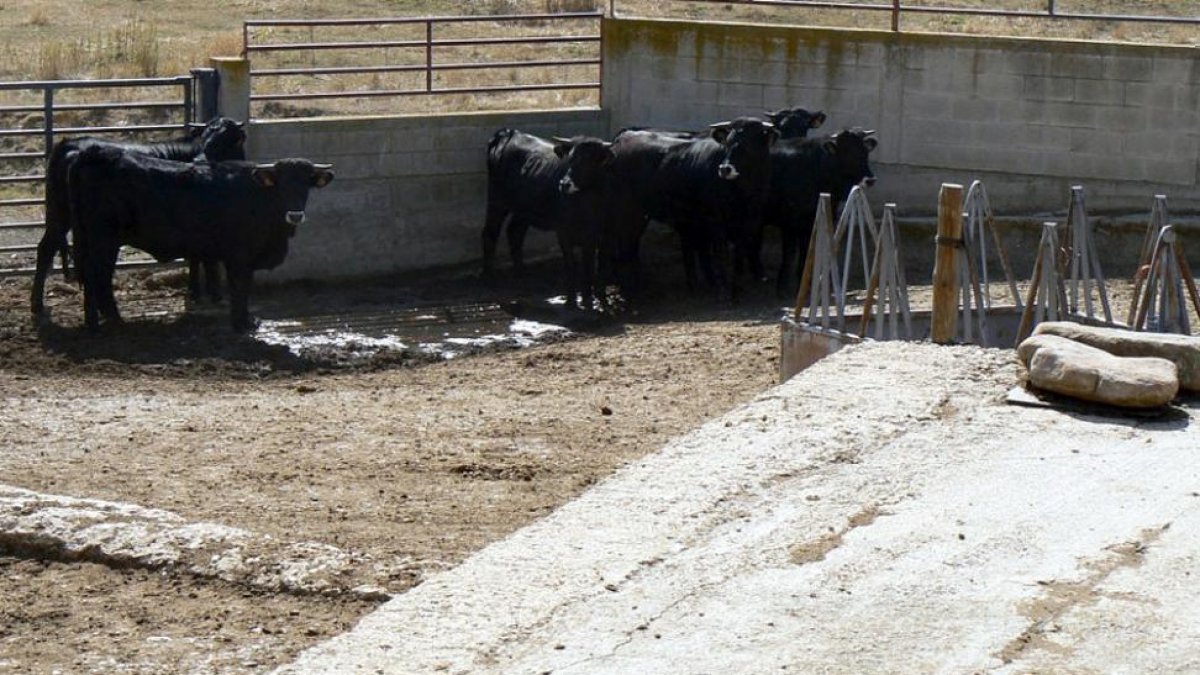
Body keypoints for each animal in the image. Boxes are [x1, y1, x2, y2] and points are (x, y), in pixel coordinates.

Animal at [31, 117, 247, 318]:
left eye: (227, 139)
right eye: (207, 139)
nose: (202, 160)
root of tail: (70, 145)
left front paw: (196, 292)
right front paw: (211, 295)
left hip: (59, 215)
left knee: (46, 249)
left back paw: (37, 304)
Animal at [68, 147, 332, 333]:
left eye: (306, 184)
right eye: (282, 185)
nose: (295, 214)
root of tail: (96, 153)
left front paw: (246, 320)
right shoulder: (239, 258)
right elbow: (240, 288)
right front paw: (241, 323)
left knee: (101, 276)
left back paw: (109, 319)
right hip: (101, 238)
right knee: (95, 274)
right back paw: (98, 322)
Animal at [481, 128, 614, 310]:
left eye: (588, 161)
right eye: (569, 159)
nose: (564, 184)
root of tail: (508, 132)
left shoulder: (597, 234)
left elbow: (590, 265)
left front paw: (589, 299)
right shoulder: (563, 232)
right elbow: (571, 264)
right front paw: (571, 301)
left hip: (524, 209)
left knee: (515, 233)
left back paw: (521, 275)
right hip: (497, 199)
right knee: (490, 233)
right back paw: (489, 277)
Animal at [765, 127, 878, 295]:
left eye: (865, 151)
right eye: (847, 152)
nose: (870, 179)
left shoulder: (811, 220)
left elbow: (806, 250)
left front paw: (804, 283)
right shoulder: (790, 221)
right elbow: (789, 252)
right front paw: (783, 287)